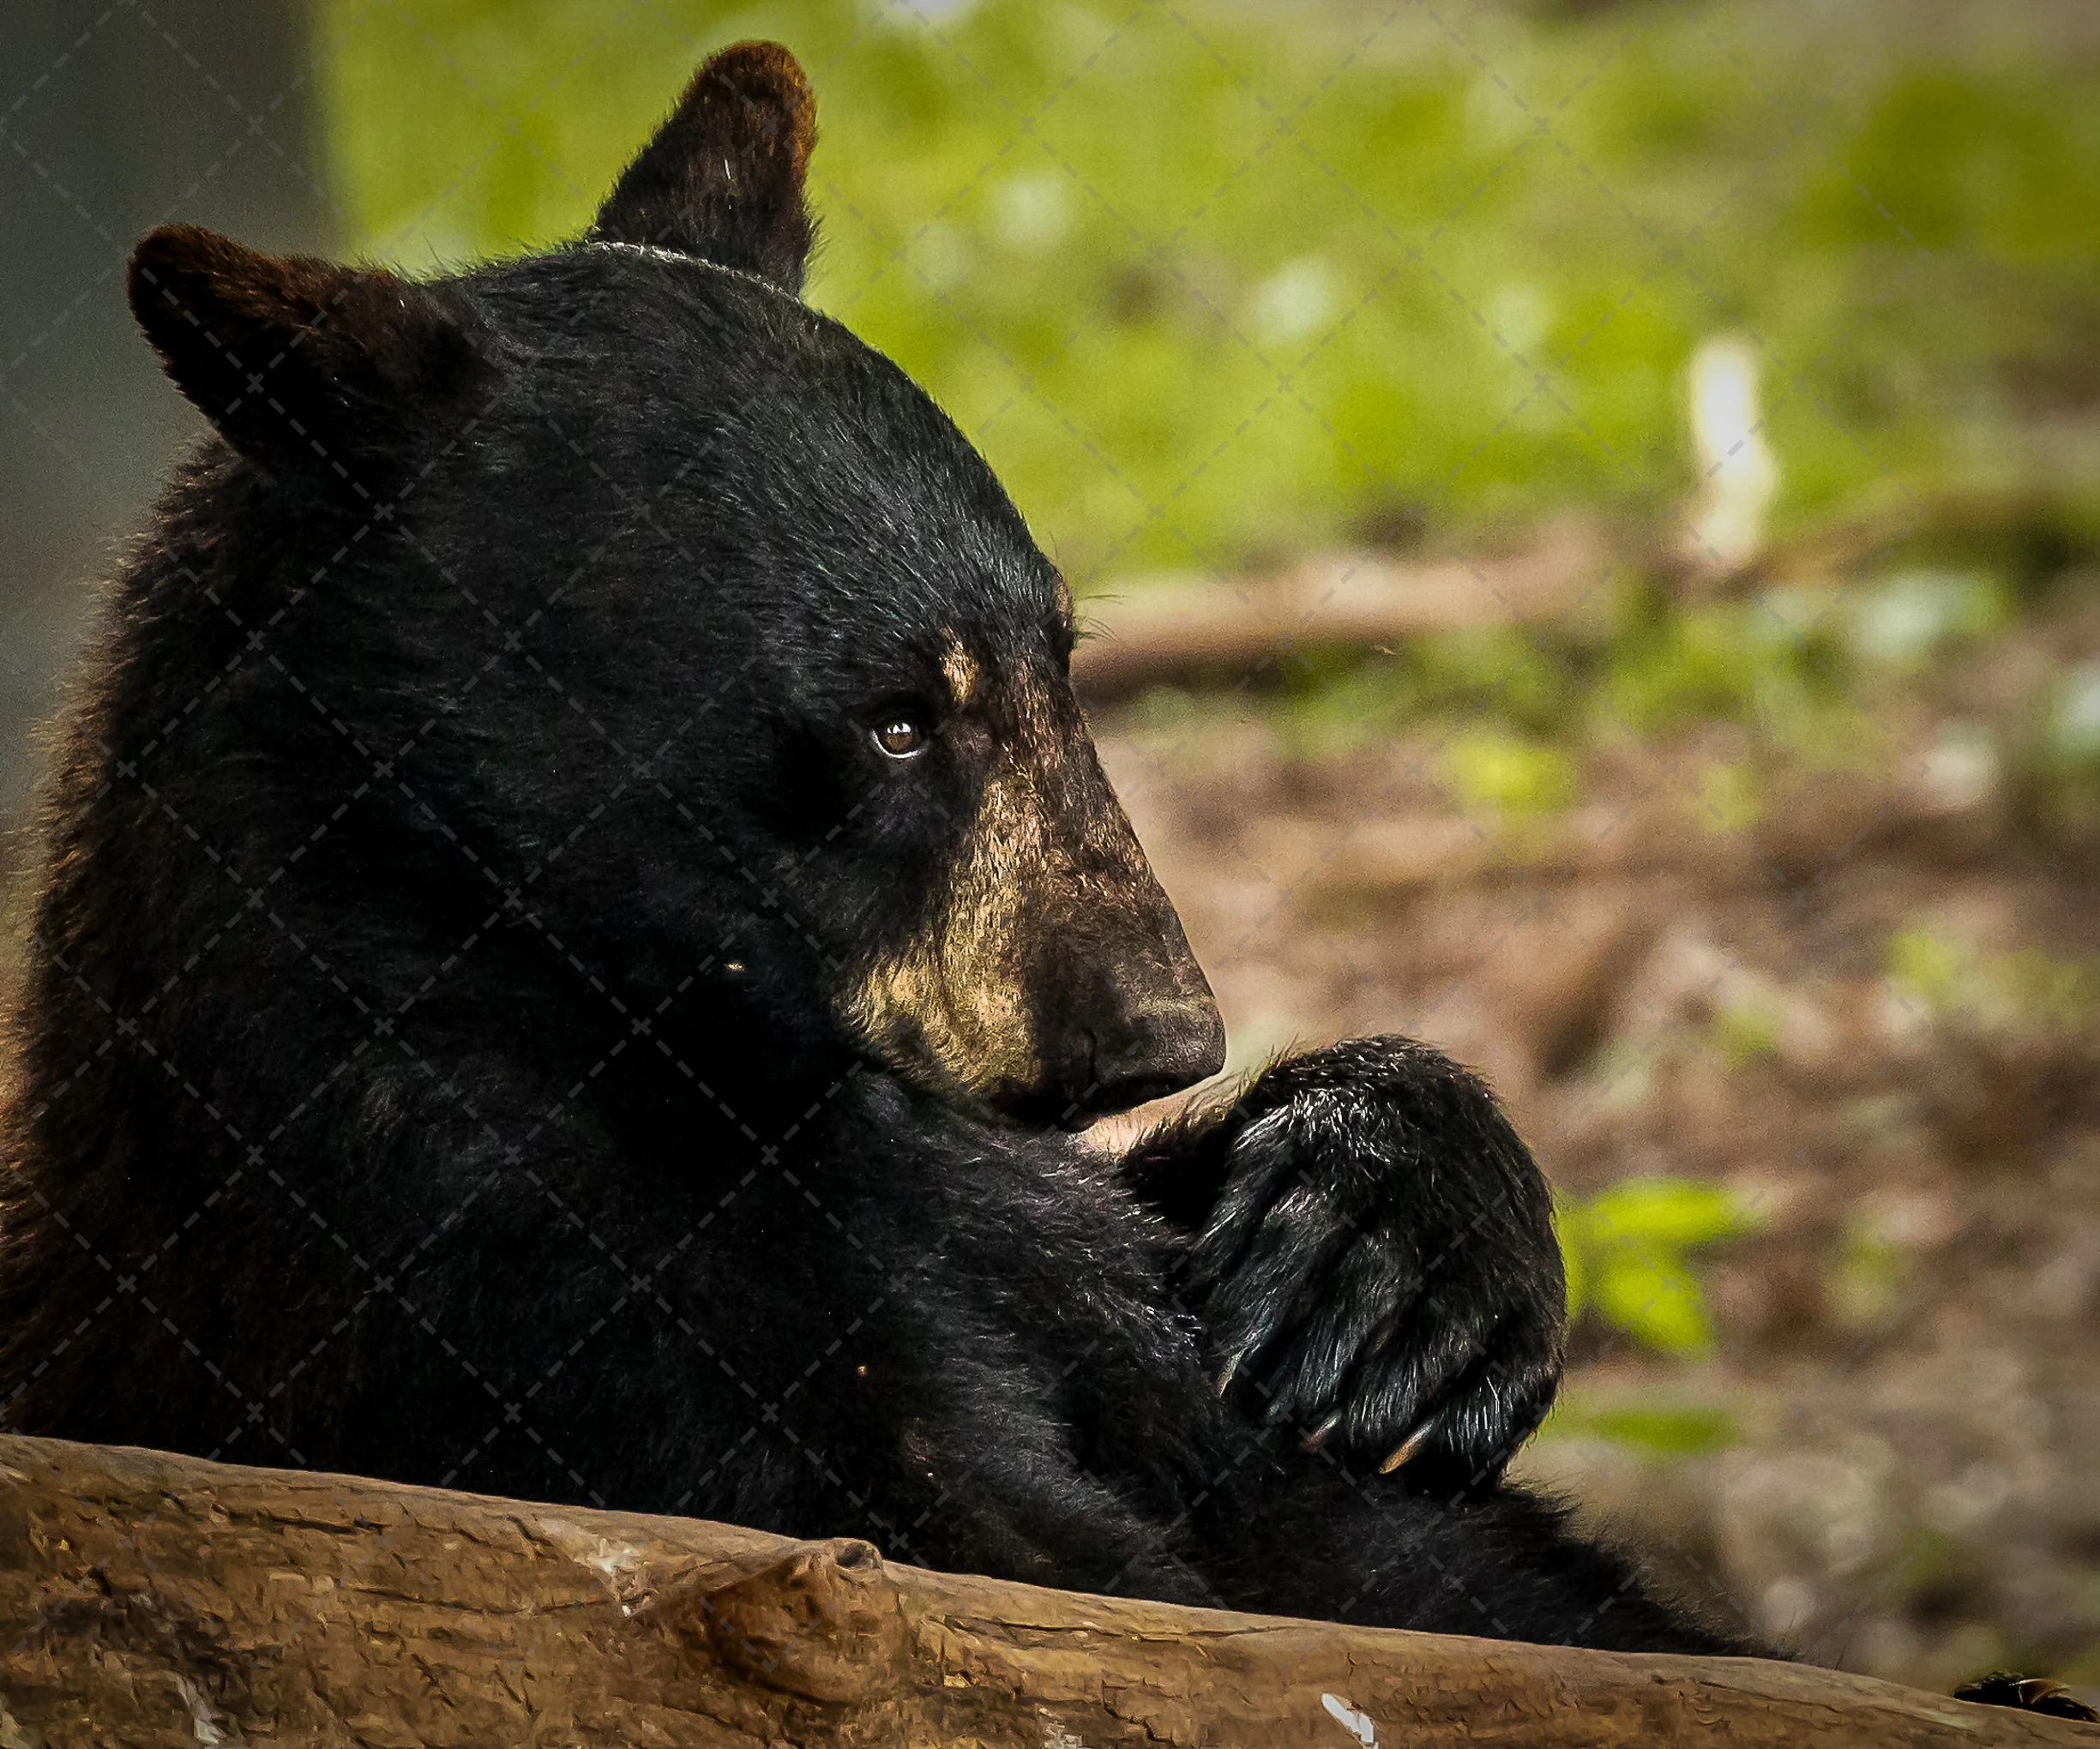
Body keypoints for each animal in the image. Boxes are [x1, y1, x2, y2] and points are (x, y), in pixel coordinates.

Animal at [0, 40, 1748, 1656]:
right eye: (896, 720)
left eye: (1061, 658)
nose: (1159, 1032)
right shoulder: (495, 1277)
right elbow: (1012, 1553)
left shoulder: (984, 1210)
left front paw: (1380, 1251)